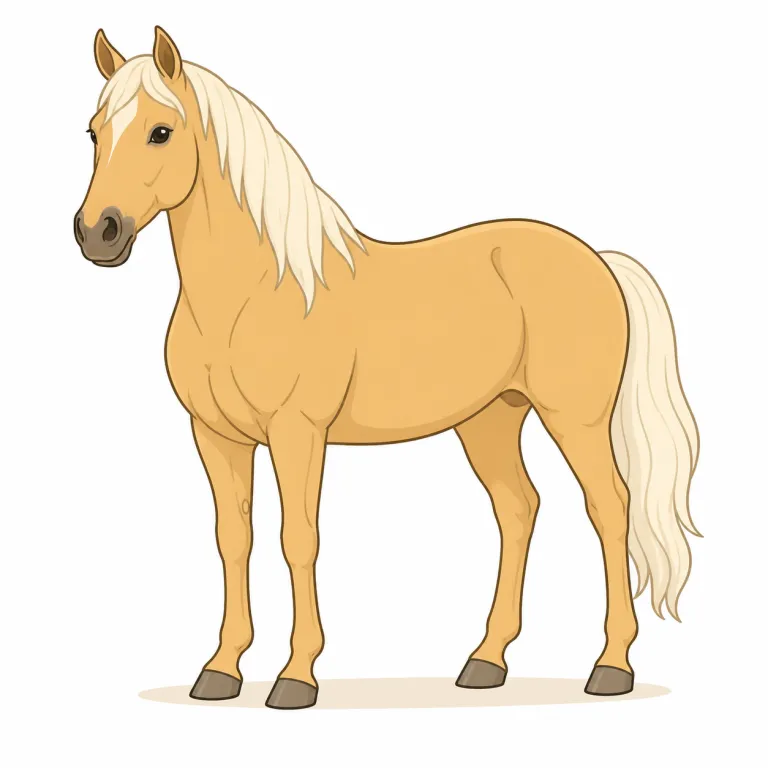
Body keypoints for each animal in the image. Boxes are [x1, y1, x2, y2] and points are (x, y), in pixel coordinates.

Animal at [74, 26, 699, 710]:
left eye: (161, 131)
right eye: (94, 133)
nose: (98, 232)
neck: (255, 291)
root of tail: (598, 259)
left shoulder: (297, 432)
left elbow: (299, 538)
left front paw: (296, 676)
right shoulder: (215, 436)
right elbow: (232, 539)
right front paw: (220, 670)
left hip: (575, 419)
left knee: (610, 507)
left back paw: (611, 666)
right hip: (490, 419)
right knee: (518, 509)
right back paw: (486, 661)